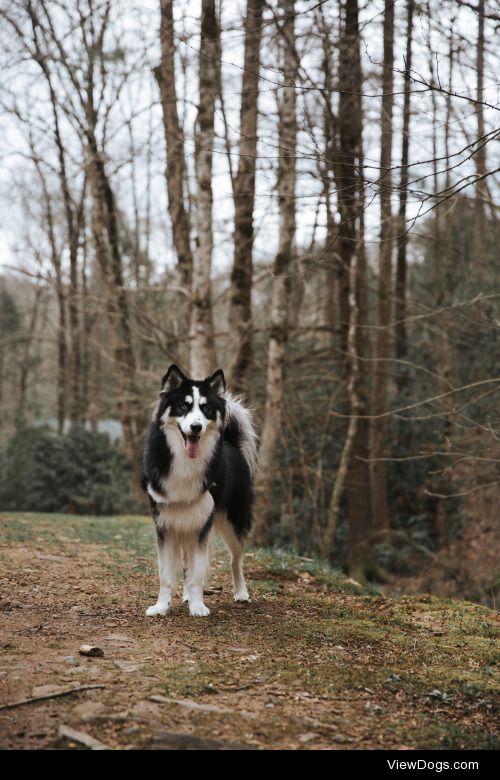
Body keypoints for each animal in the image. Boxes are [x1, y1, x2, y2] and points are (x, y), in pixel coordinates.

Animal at [141, 364, 258, 616]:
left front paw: (197, 606)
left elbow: (197, 573)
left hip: (233, 522)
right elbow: (167, 575)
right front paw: (161, 606)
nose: (196, 427)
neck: (186, 463)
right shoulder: (166, 525)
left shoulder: (202, 524)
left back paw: (241, 592)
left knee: (236, 560)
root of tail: (231, 444)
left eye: (206, 409)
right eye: (183, 406)